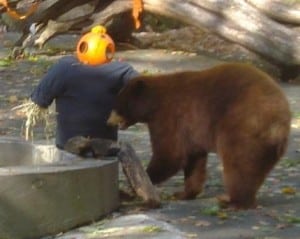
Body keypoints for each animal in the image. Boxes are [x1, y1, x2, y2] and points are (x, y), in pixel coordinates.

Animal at [107, 63, 290, 209]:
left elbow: (170, 155)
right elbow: (194, 160)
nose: (108, 121)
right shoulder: (191, 130)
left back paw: (233, 201)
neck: (153, 105)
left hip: (241, 127)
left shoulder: (170, 116)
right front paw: (184, 193)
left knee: (238, 165)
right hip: (267, 146)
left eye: (117, 104)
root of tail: (278, 123)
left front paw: (137, 183)